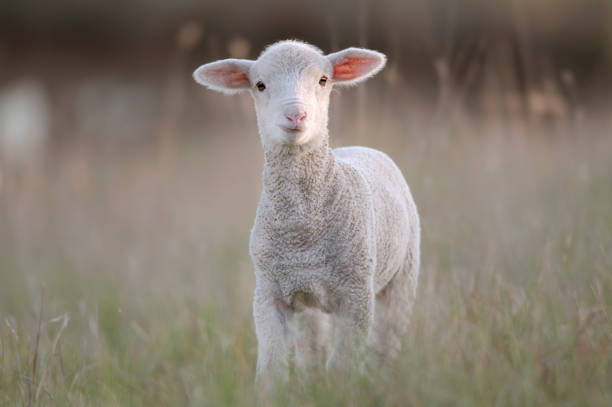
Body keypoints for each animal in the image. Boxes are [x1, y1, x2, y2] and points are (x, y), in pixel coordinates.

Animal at [192, 39, 420, 384]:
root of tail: (358, 148)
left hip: (402, 275)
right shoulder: (269, 292)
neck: (303, 235)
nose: (295, 115)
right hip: (309, 303)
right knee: (312, 353)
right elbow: (272, 369)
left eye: (323, 80)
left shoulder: (357, 294)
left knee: (387, 344)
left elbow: (343, 365)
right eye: (260, 85)